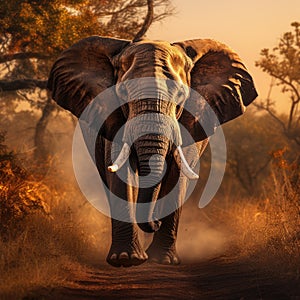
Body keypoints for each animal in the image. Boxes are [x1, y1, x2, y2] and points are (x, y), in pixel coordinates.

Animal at [47, 35, 258, 268]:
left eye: (181, 95)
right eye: (122, 94)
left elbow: (177, 176)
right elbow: (122, 174)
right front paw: (126, 259)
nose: (154, 221)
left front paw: (163, 260)